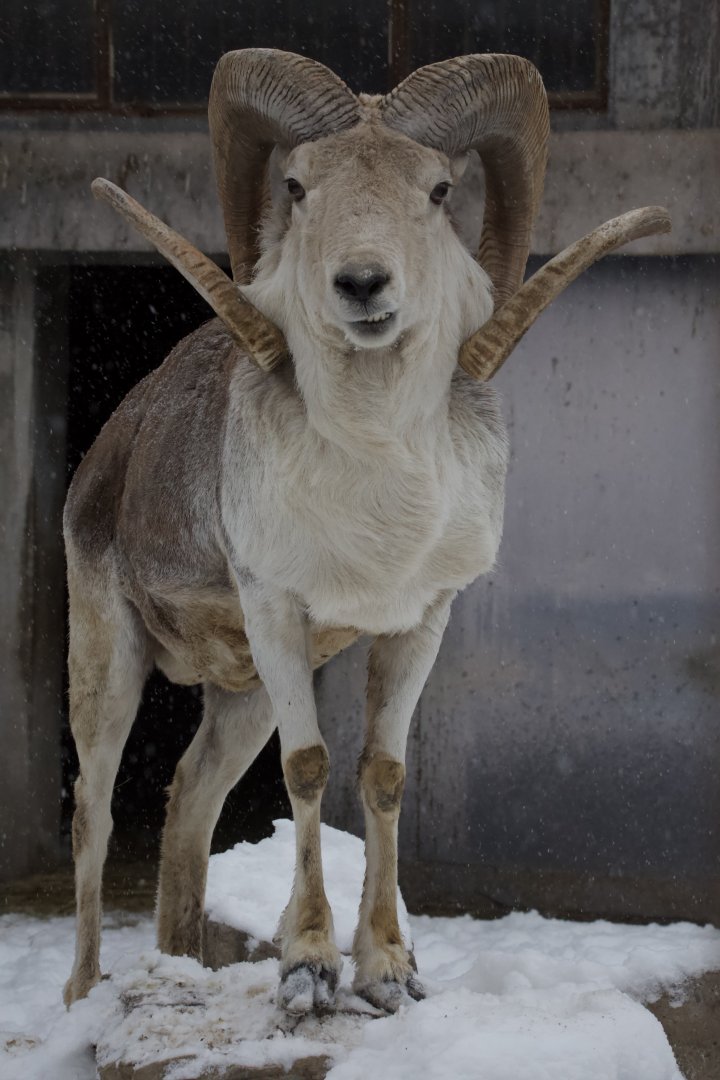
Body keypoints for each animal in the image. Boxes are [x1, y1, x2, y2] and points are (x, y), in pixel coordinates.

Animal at [62, 48, 670, 1015]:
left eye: (437, 189)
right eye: (300, 185)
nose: (362, 285)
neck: (375, 474)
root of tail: (109, 451)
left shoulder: (419, 622)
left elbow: (382, 777)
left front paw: (388, 971)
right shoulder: (275, 611)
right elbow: (310, 768)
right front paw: (309, 969)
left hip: (240, 697)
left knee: (189, 798)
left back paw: (183, 967)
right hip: (110, 660)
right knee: (95, 806)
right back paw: (85, 992)